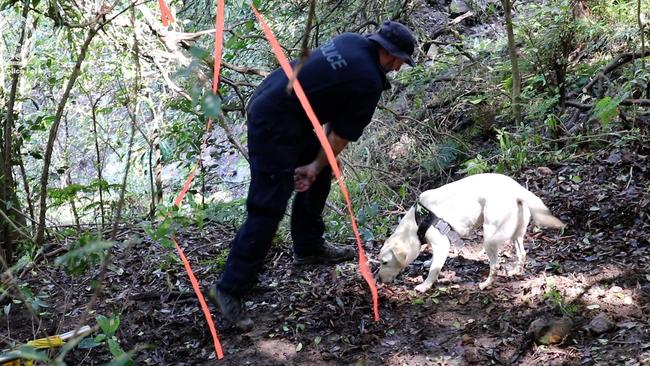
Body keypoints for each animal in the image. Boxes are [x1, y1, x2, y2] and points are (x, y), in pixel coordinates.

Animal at [374, 174, 560, 292]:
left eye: (384, 262)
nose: (377, 280)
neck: (416, 222)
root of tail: (517, 190)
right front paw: (427, 262)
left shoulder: (442, 244)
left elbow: (434, 269)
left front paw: (425, 285)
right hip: (517, 234)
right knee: (522, 253)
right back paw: (515, 271)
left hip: (489, 236)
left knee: (495, 265)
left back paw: (486, 284)